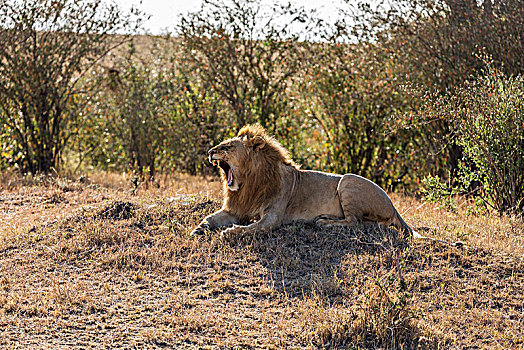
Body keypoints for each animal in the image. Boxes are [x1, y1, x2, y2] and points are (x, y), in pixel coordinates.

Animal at [190, 123, 428, 241]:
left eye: (227, 146)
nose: (210, 152)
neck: (248, 184)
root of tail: (394, 207)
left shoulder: (273, 217)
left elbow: (253, 228)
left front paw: (230, 232)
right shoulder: (234, 209)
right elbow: (210, 217)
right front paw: (199, 229)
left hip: (348, 181)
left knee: (355, 222)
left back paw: (325, 223)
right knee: (366, 223)